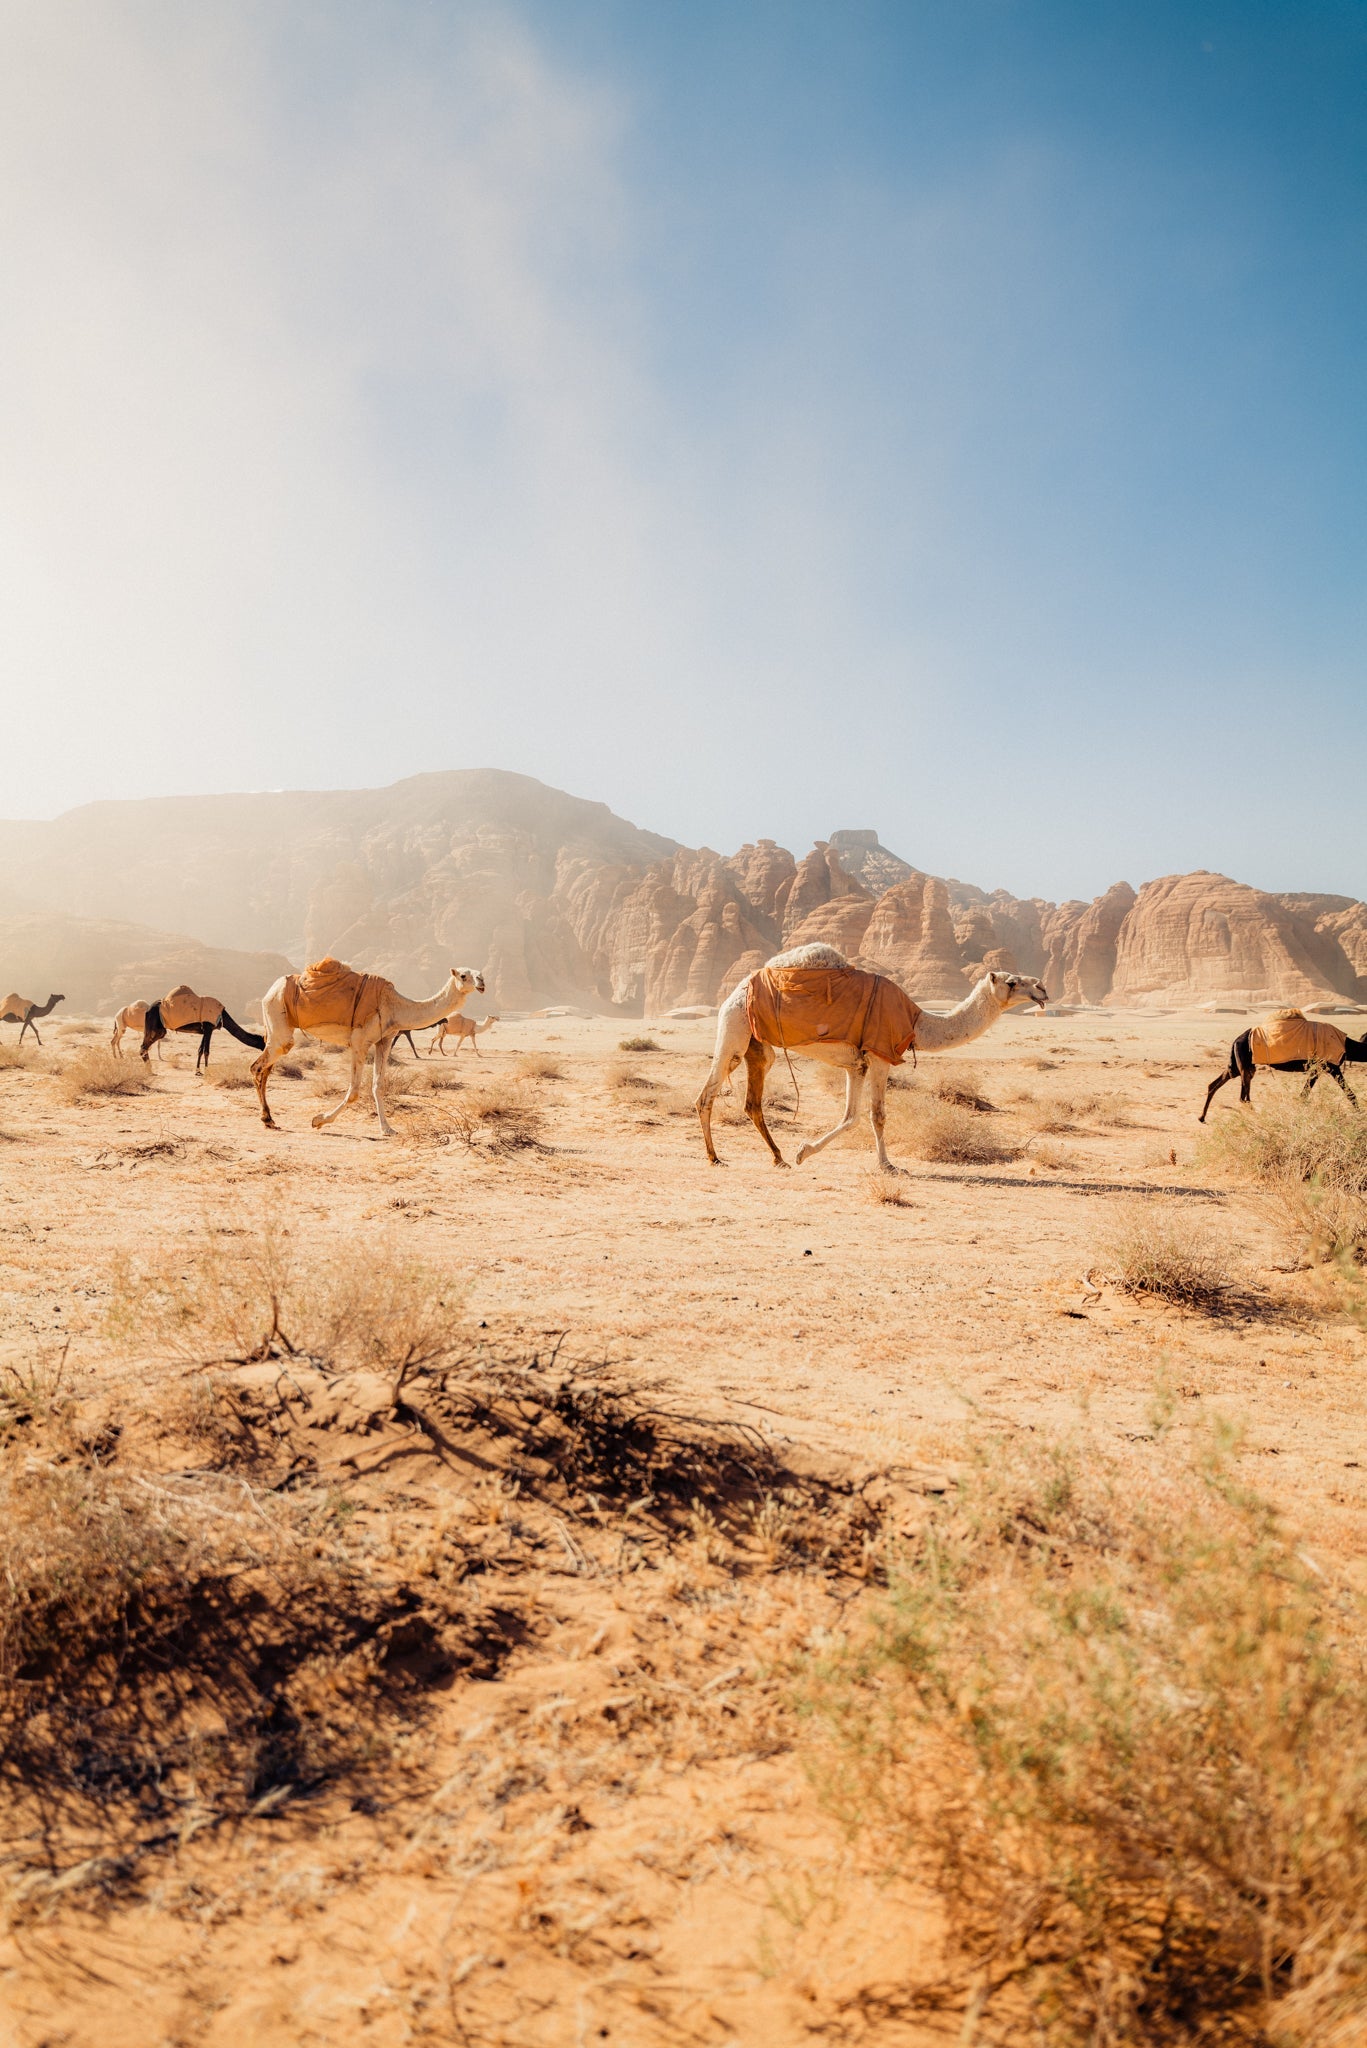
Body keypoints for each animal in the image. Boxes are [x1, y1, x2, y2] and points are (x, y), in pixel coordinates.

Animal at [253, 954, 485, 1138]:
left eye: (477, 973)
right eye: (463, 976)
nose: (482, 981)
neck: (396, 1006)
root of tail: (271, 989)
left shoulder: (385, 1039)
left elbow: (378, 1085)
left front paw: (387, 1129)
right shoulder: (359, 1042)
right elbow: (354, 1091)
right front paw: (319, 1120)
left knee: (266, 1067)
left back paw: (269, 1119)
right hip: (277, 1014)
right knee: (259, 1065)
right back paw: (267, 1119)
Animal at [696, 942, 1049, 1171]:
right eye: (1012, 982)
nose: (1042, 988)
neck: (917, 1022)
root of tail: (736, 991)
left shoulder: (857, 1064)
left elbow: (850, 1116)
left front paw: (802, 1152)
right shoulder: (879, 1057)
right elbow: (877, 1115)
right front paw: (888, 1165)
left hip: (758, 1046)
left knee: (752, 1100)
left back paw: (779, 1158)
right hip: (735, 1028)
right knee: (707, 1094)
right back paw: (715, 1157)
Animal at [1196, 1007, 1367, 1122]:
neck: (1345, 1044)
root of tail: (1237, 1039)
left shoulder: (1318, 1068)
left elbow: (1304, 1094)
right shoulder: (1330, 1066)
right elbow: (1350, 1094)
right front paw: (1360, 1117)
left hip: (1238, 1065)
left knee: (1218, 1083)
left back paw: (1202, 1117)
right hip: (1244, 1063)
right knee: (1243, 1096)